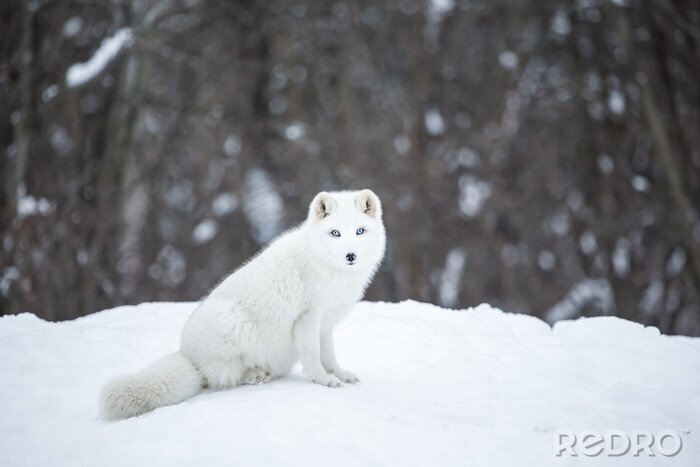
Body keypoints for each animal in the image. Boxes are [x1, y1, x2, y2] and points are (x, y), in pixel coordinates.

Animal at [100, 189, 386, 419]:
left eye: (360, 231)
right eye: (335, 233)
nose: (350, 256)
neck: (327, 268)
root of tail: (188, 356)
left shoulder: (326, 322)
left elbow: (329, 355)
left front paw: (339, 374)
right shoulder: (308, 317)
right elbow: (314, 356)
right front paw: (323, 380)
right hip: (235, 322)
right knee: (222, 378)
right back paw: (253, 375)